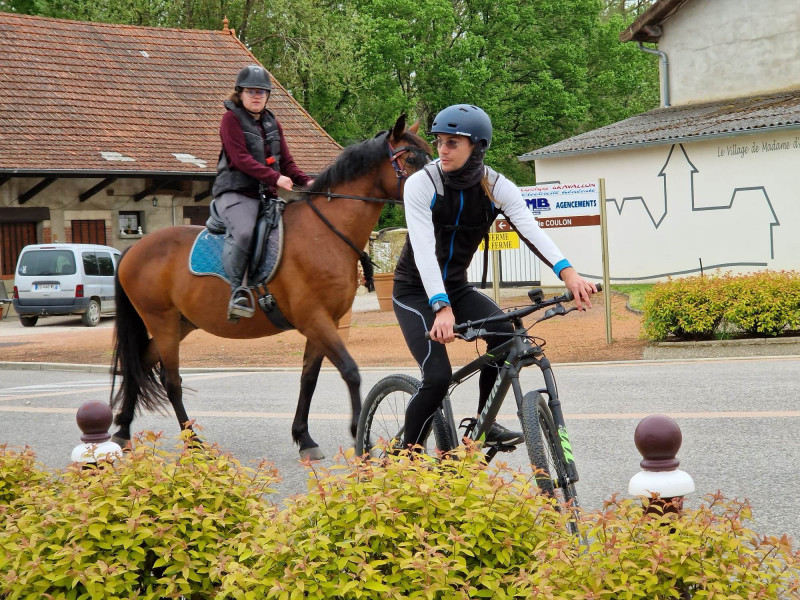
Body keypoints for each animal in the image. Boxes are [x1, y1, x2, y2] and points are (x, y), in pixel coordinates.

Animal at [109, 114, 431, 460]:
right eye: (413, 159)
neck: (324, 233)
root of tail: (135, 248)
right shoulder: (314, 319)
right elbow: (350, 371)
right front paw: (360, 437)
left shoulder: (324, 323)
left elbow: (309, 378)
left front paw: (304, 438)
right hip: (163, 322)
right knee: (171, 381)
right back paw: (194, 443)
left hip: (179, 324)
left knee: (139, 367)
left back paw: (122, 431)